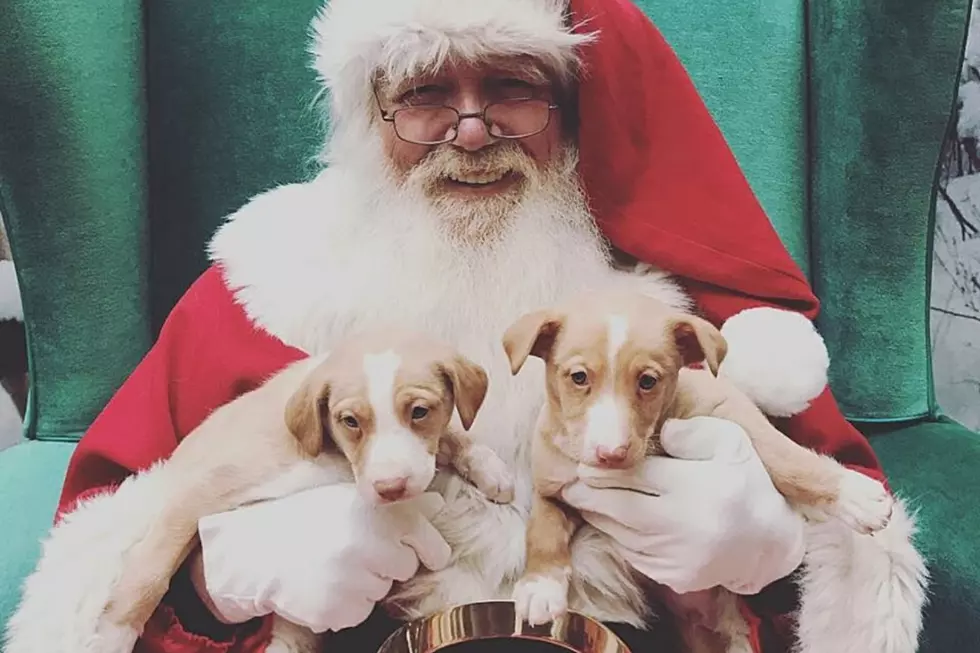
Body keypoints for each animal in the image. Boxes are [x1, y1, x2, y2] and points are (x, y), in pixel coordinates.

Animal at [95, 328, 516, 652]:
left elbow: (453, 436)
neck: (333, 458)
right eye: (350, 421)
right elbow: (151, 572)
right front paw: (112, 636)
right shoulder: (200, 493)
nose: (391, 488)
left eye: (419, 412)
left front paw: (490, 468)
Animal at [506, 290, 896, 652]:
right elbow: (543, 529)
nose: (610, 454)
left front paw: (853, 495)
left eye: (648, 381)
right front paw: (540, 586)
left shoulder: (733, 416)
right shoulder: (554, 487)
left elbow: (785, 457)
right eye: (578, 377)